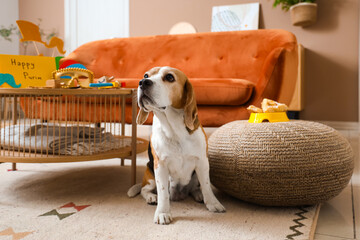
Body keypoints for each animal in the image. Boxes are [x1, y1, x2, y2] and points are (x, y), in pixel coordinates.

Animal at [128, 66, 225, 225]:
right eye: (146, 75)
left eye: (169, 77)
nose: (142, 82)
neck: (174, 130)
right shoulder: (160, 166)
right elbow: (163, 193)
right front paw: (162, 212)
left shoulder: (202, 162)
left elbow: (206, 185)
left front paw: (213, 203)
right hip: (150, 174)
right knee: (145, 190)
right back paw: (151, 197)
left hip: (195, 175)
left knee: (195, 188)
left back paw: (199, 195)